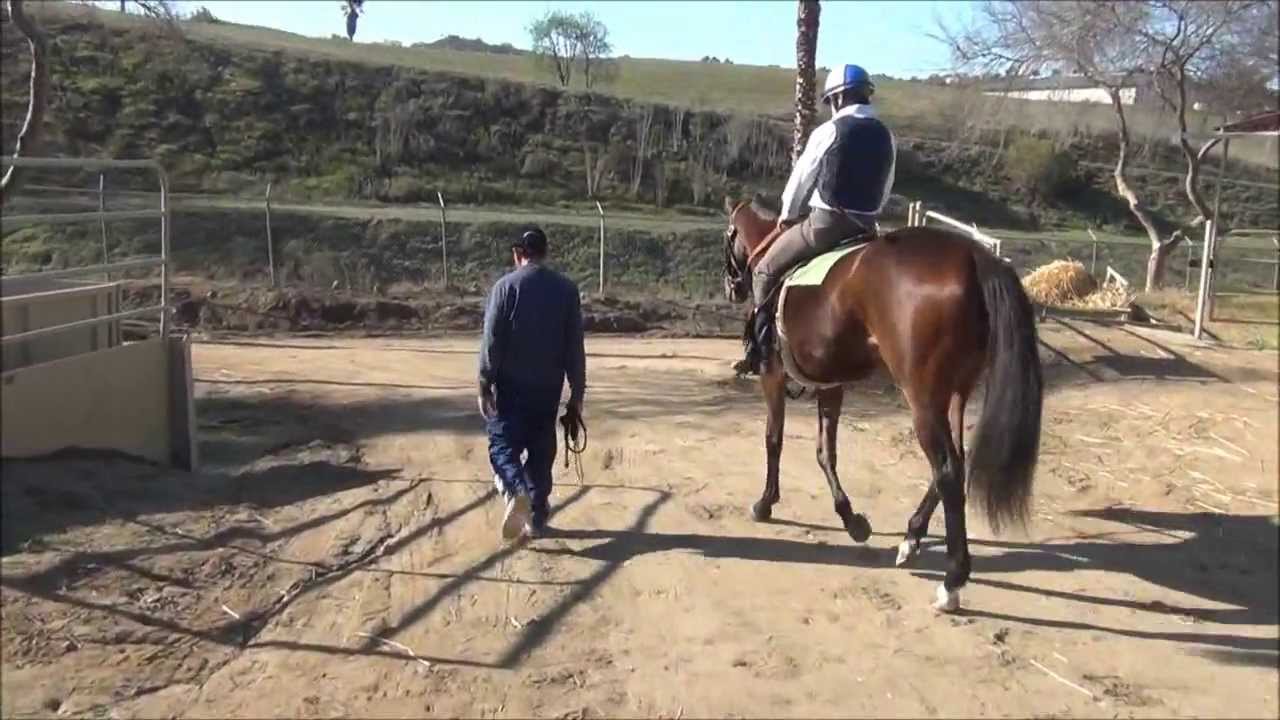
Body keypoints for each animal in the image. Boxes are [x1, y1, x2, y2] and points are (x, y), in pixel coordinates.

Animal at [721, 193, 1039, 607]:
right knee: (956, 460)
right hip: (956, 391)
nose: (732, 287)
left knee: (948, 470)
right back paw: (911, 539)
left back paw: (952, 581)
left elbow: (774, 440)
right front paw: (851, 519)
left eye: (727, 236)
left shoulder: (772, 376)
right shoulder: (831, 384)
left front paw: (765, 503)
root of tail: (973, 256)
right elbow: (826, 451)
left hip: (923, 399)